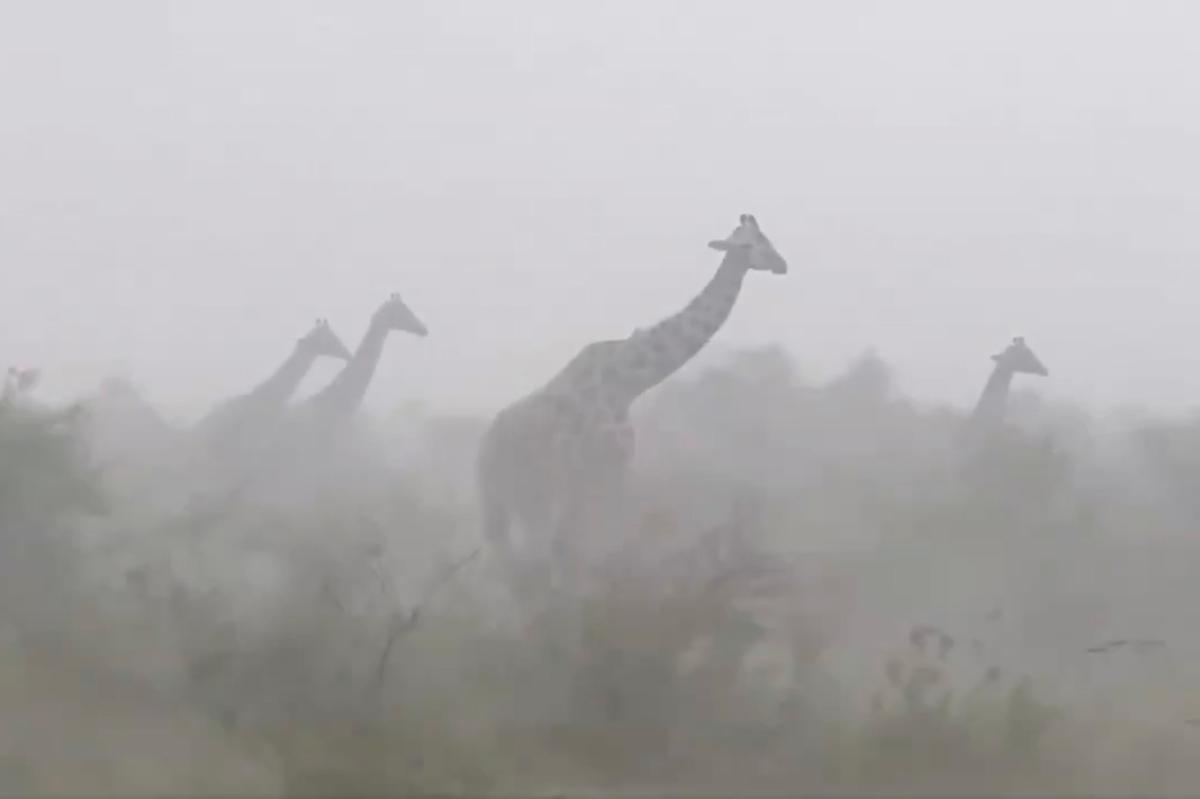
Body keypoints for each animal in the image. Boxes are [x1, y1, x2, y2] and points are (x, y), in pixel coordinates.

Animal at [477, 214, 788, 579]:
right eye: (752, 244)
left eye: (766, 237)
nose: (782, 264)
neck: (627, 381)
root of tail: (483, 444)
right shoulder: (589, 471)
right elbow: (578, 550)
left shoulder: (610, 471)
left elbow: (595, 546)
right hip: (504, 496)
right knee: (509, 556)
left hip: (525, 497)